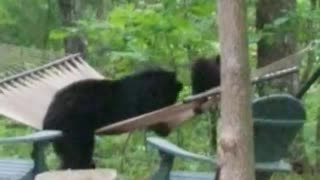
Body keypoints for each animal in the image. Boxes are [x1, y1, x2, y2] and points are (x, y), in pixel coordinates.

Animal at [42, 68, 182, 169]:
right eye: (172, 99)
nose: (173, 104)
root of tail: (48, 116)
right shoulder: (138, 102)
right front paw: (163, 126)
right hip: (75, 121)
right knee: (78, 148)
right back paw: (82, 165)